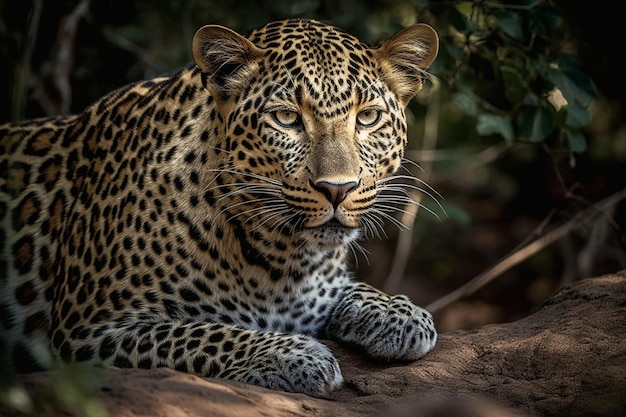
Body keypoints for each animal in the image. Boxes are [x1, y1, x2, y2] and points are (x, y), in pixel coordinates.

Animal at [0, 17, 438, 394]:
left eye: (368, 117)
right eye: (286, 118)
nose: (337, 189)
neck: (282, 259)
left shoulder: (320, 285)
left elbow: (354, 288)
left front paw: (400, 314)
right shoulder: (87, 329)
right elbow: (204, 332)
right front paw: (292, 355)